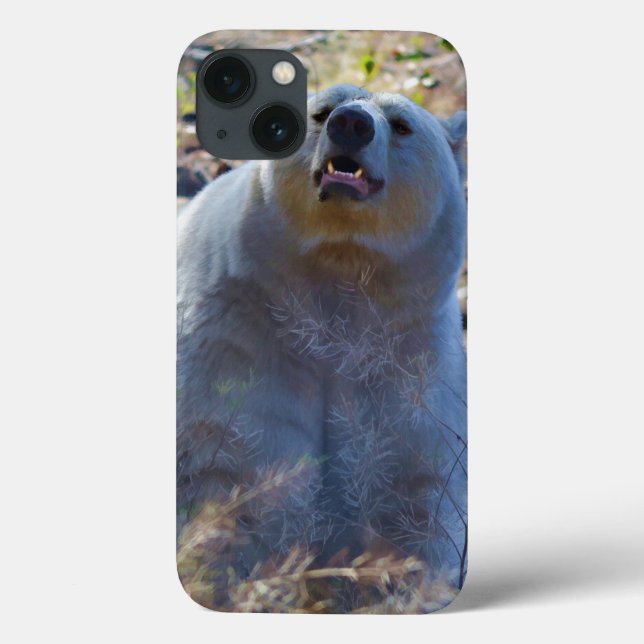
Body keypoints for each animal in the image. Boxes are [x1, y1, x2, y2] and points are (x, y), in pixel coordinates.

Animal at [177, 84, 467, 608]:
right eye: (321, 111)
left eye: (401, 124)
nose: (351, 124)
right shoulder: (240, 340)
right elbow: (233, 470)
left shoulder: (412, 359)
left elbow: (418, 487)